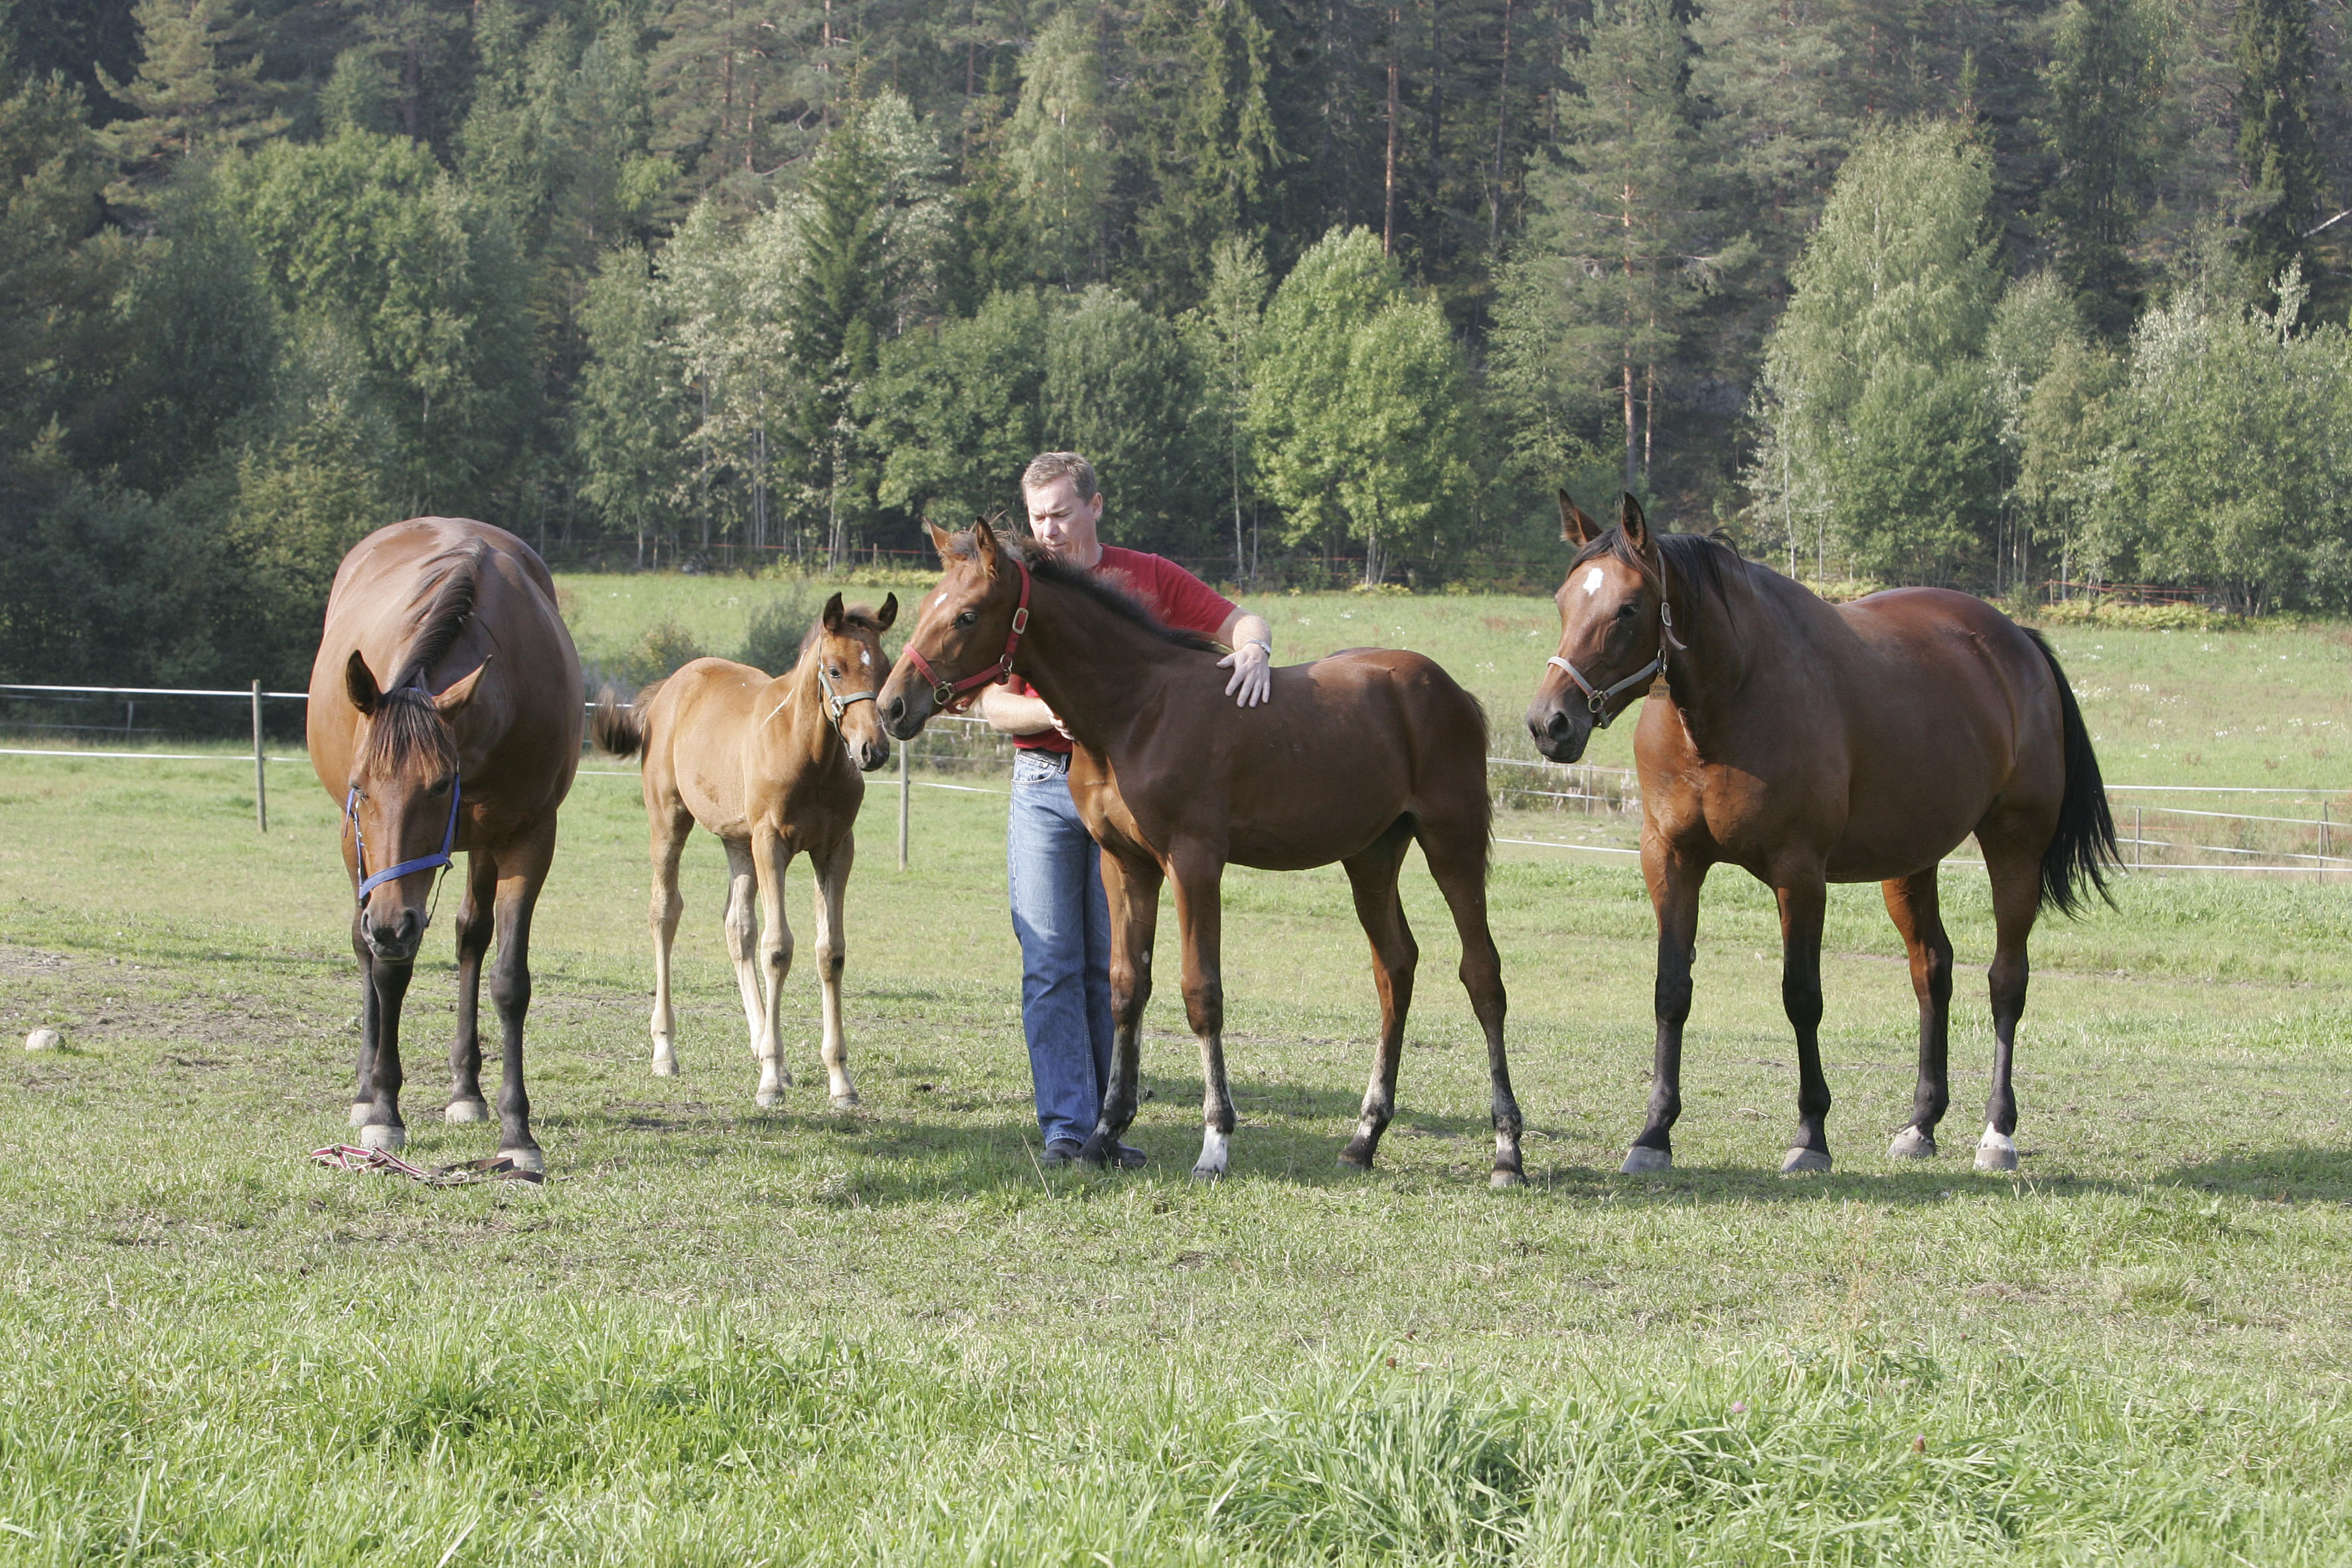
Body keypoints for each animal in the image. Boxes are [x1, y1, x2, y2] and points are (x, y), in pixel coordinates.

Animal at [307, 517, 583, 1173]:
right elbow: (388, 970)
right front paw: (383, 1111)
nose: (392, 923)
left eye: (438, 785)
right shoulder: (372, 866)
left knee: (470, 939)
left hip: (480, 848)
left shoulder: (528, 837)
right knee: (364, 948)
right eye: (361, 786)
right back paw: (365, 1089)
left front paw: (517, 1133)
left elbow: (509, 981)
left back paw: (466, 1090)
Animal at [591, 593, 897, 1108]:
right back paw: (666, 1052)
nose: (872, 750)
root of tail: (670, 687)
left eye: (886, 667)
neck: (808, 753)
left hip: (737, 841)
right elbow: (778, 949)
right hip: (671, 820)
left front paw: (839, 1081)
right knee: (665, 912)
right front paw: (771, 1079)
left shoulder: (835, 848)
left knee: (738, 926)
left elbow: (829, 951)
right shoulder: (771, 842)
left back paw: (760, 1045)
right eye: (835, 670)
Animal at [877, 518, 1524, 1186]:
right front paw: (1102, 1136)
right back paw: (1364, 1138)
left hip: (1452, 842)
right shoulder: (1125, 864)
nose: (891, 707)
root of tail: (1448, 688)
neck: (1135, 712)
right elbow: (1125, 988)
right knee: (1394, 968)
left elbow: (1200, 992)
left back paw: (1507, 1152)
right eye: (924, 608)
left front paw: (1214, 1142)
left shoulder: (1193, 863)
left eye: (967, 615)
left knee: (1481, 975)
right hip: (1370, 856)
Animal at [1525, 492, 2119, 1176]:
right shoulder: (1669, 860)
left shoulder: (1799, 874)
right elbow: (1671, 991)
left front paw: (1810, 1134)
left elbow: (1801, 997)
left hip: (2014, 845)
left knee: (2006, 980)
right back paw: (1921, 1123)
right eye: (1563, 602)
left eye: (1627, 608)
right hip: (1910, 862)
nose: (1549, 723)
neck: (1731, 704)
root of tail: (2018, 642)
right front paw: (1654, 1134)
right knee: (1931, 970)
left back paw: (1996, 1134)